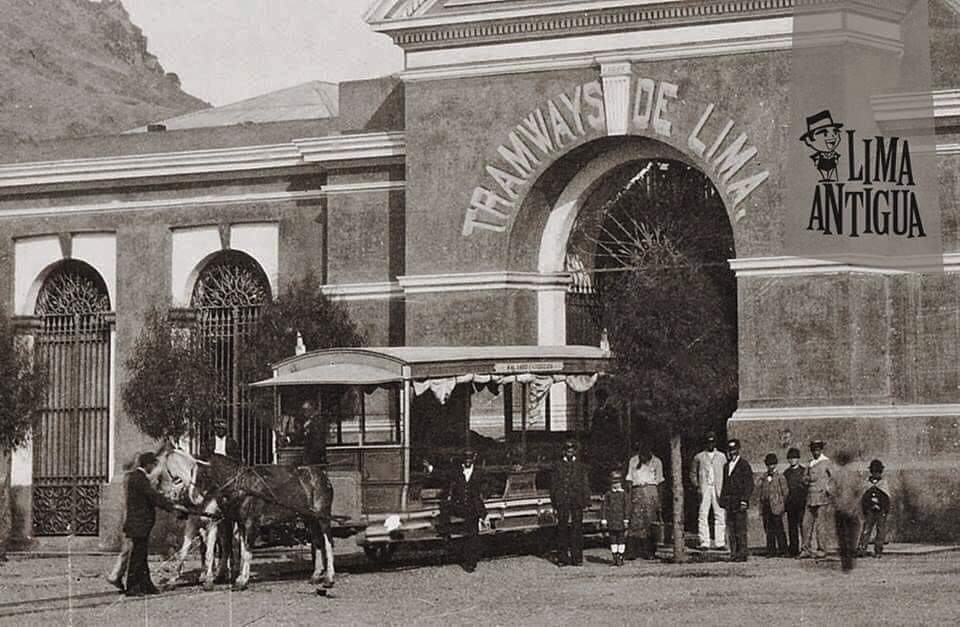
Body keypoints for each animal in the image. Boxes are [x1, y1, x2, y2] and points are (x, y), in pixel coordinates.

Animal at [156, 448, 336, 592]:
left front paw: (240, 581)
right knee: (317, 542)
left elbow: (245, 550)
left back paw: (329, 578)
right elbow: (240, 551)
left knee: (327, 542)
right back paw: (315, 576)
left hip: (323, 516)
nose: (192, 499)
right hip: (310, 518)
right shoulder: (238, 523)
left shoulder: (248, 523)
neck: (241, 486)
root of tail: (322, 476)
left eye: (202, 474)